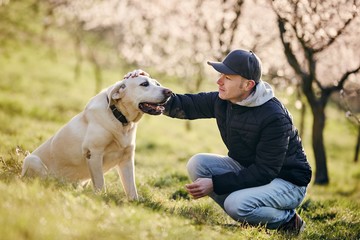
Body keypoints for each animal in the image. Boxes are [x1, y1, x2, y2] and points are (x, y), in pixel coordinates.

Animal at [21, 71, 173, 201]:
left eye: (157, 83)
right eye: (144, 84)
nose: (169, 92)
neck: (119, 118)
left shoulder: (127, 159)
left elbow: (131, 187)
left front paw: (135, 202)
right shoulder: (94, 153)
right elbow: (100, 183)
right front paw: (101, 198)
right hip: (31, 160)